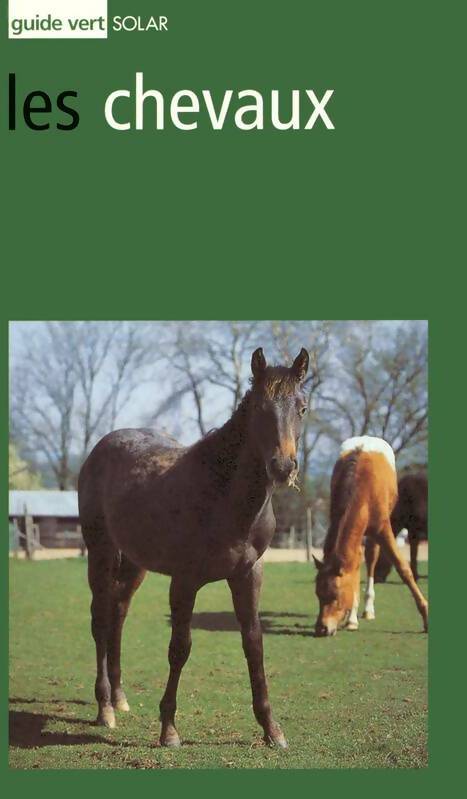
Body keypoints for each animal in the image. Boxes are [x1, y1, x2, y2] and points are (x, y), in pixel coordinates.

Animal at [78, 347, 310, 748]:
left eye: (302, 407)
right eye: (259, 408)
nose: (283, 467)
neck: (223, 495)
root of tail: (99, 449)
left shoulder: (248, 574)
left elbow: (254, 644)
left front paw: (271, 729)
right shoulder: (184, 581)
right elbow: (180, 648)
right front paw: (169, 729)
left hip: (135, 563)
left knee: (118, 615)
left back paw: (120, 698)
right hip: (101, 553)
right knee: (101, 621)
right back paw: (105, 707)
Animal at [313, 436, 428, 636]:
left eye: (335, 595)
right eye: (318, 594)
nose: (322, 628)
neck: (360, 487)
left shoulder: (383, 528)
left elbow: (403, 568)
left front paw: (426, 615)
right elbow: (353, 568)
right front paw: (351, 618)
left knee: (371, 558)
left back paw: (367, 609)